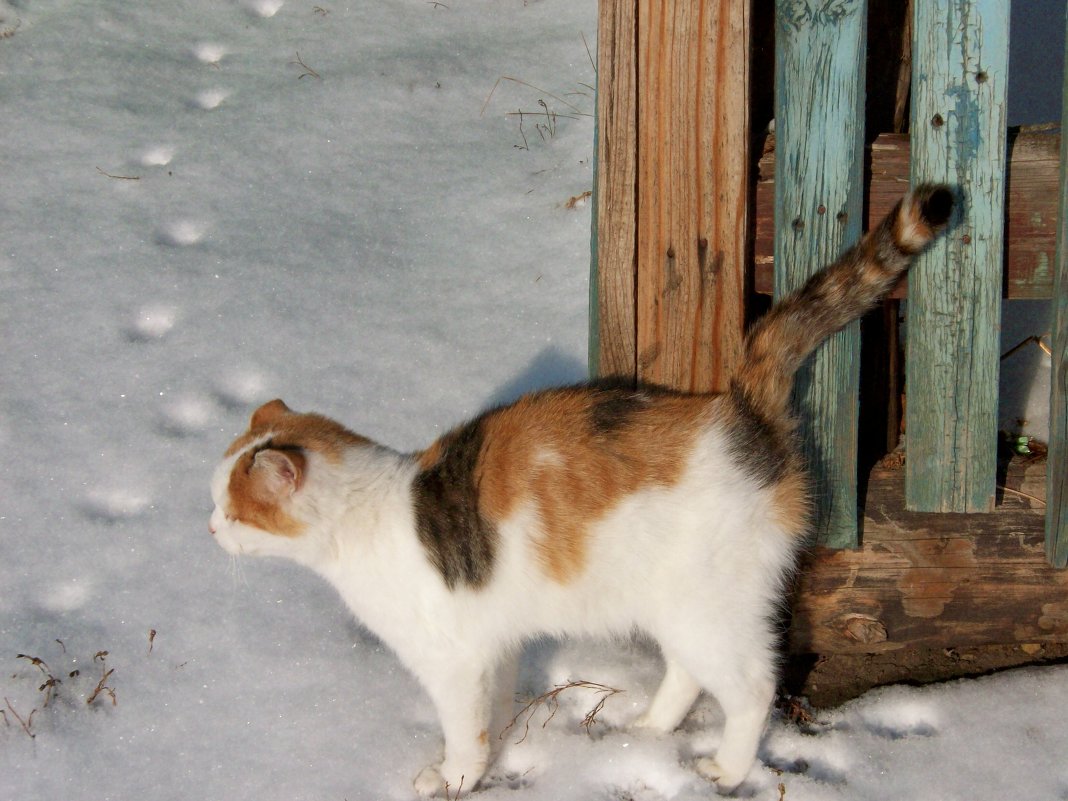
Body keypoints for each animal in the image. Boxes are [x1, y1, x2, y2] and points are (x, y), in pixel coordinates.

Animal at [206, 183, 952, 798]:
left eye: (232, 512)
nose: (208, 529)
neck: (373, 515)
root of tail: (740, 408)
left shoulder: (452, 661)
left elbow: (462, 731)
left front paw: (452, 779)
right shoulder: (494, 647)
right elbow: (492, 716)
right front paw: (489, 762)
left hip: (709, 607)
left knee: (752, 687)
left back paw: (727, 768)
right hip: (677, 604)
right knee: (687, 673)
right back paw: (647, 728)